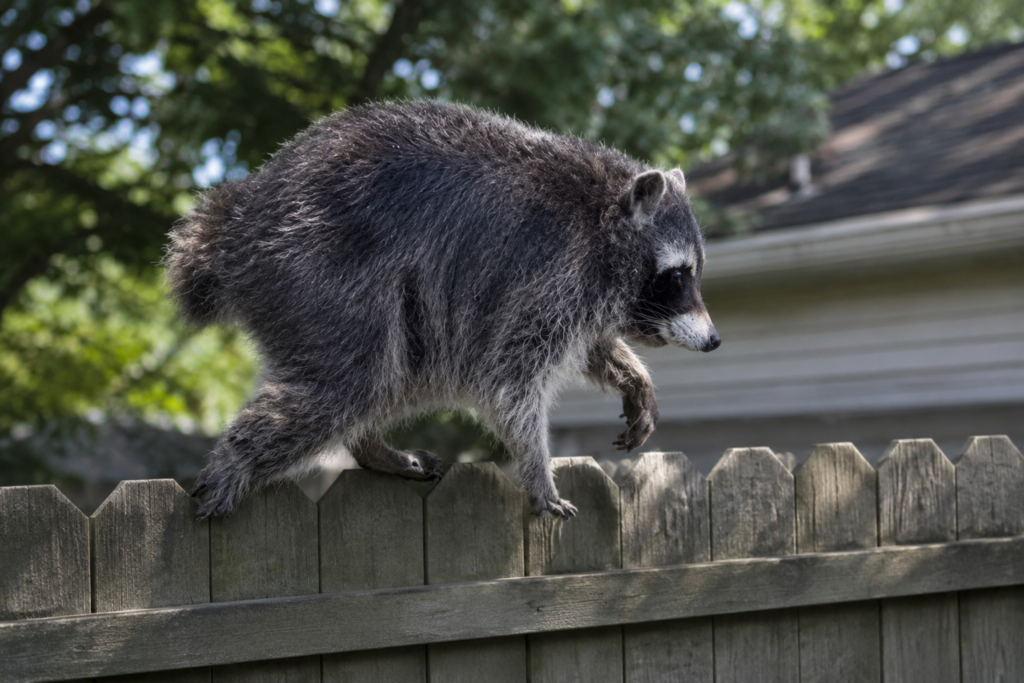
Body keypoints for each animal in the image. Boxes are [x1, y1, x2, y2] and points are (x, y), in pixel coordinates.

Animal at [166, 101, 720, 520]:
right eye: (677, 276)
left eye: (693, 272)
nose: (714, 340)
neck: (605, 214)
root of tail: (241, 215)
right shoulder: (551, 274)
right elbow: (509, 380)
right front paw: (537, 471)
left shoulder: (576, 295)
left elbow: (589, 347)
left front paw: (632, 377)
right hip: (317, 271)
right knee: (347, 379)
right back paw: (237, 463)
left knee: (391, 372)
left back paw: (370, 447)